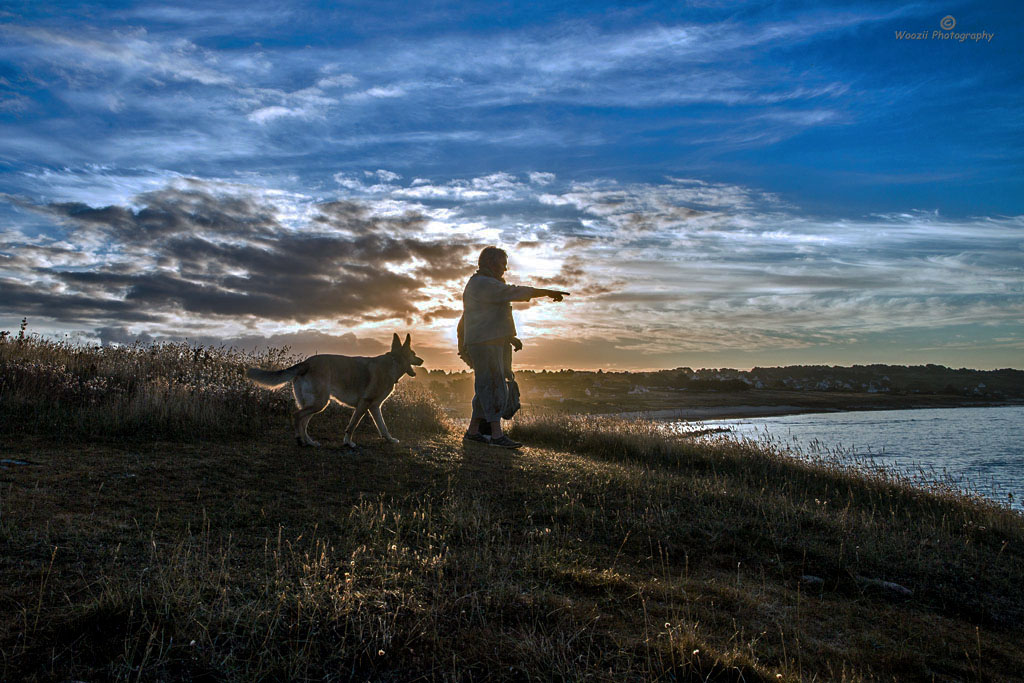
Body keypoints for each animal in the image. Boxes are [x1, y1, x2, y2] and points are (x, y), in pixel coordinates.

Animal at [243, 331, 423, 448]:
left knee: (303, 422)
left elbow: (383, 426)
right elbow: (353, 425)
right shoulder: (364, 404)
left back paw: (309, 442)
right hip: (320, 403)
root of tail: (306, 363)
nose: (422, 360)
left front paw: (389, 440)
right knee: (297, 416)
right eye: (414, 353)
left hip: (315, 403)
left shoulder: (374, 407)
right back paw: (300, 440)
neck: (393, 362)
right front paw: (348, 442)